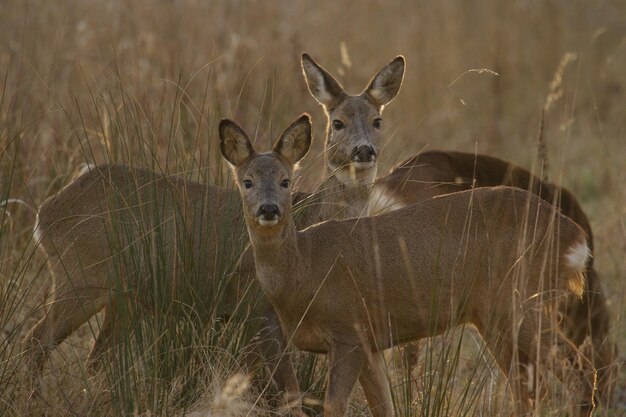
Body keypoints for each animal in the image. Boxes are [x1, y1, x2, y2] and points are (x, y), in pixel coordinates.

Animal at [22, 55, 404, 412]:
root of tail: (45, 214)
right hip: (80, 277)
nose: (364, 150)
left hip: (124, 297)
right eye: (337, 122)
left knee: (95, 357)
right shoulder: (257, 310)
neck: (309, 223)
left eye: (378, 121)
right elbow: (285, 391)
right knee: (36, 340)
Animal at [219, 113, 596, 416]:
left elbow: (333, 406)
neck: (305, 269)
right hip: (495, 315)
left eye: (285, 181)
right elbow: (383, 406)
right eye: (247, 182)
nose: (269, 209)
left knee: (576, 374)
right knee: (530, 387)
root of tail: (574, 237)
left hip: (521, 300)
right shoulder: (370, 343)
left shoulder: (349, 330)